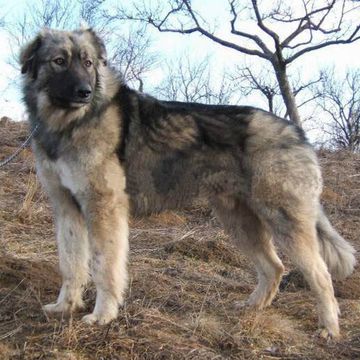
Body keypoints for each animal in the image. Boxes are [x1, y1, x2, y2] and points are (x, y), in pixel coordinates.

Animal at [21, 27, 356, 338]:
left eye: (88, 63)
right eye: (59, 61)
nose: (85, 92)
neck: (71, 123)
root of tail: (298, 133)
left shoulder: (103, 209)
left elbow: (104, 267)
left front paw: (102, 315)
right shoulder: (67, 208)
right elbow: (71, 263)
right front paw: (65, 306)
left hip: (284, 222)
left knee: (321, 275)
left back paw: (329, 328)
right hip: (239, 222)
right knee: (274, 267)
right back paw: (252, 307)